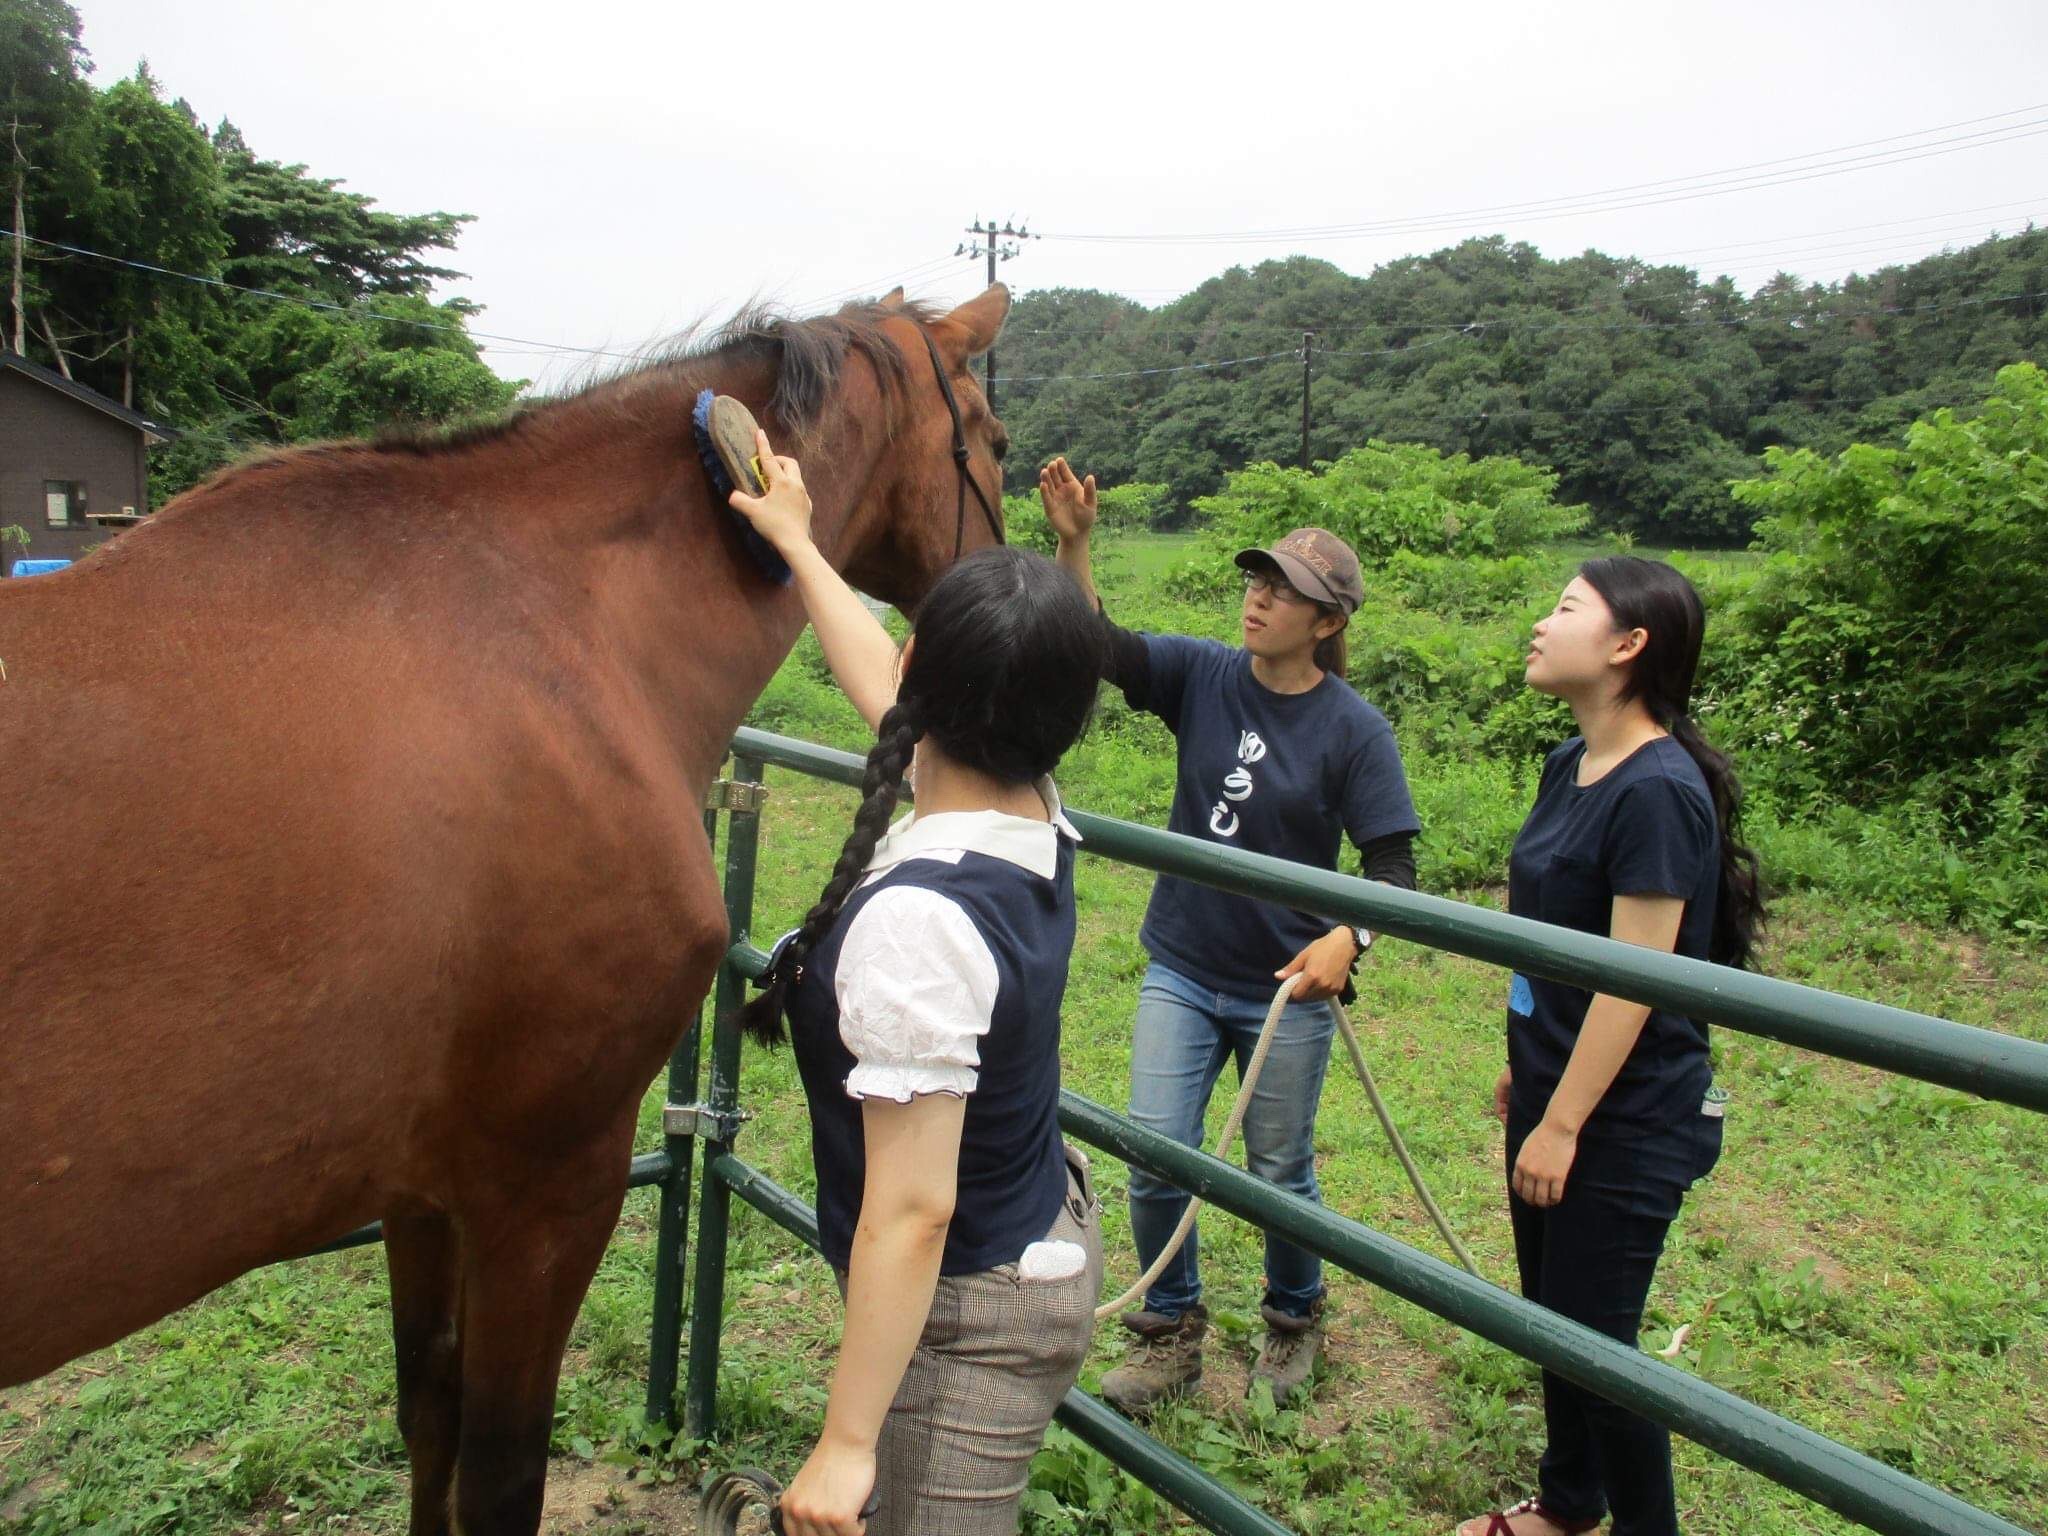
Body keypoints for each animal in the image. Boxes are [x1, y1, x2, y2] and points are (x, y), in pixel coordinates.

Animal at [0, 286, 1015, 1531]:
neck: (558, 632)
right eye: (994, 442)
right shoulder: (547, 1185)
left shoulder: (422, 1188)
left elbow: (427, 1406)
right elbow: (499, 1472)